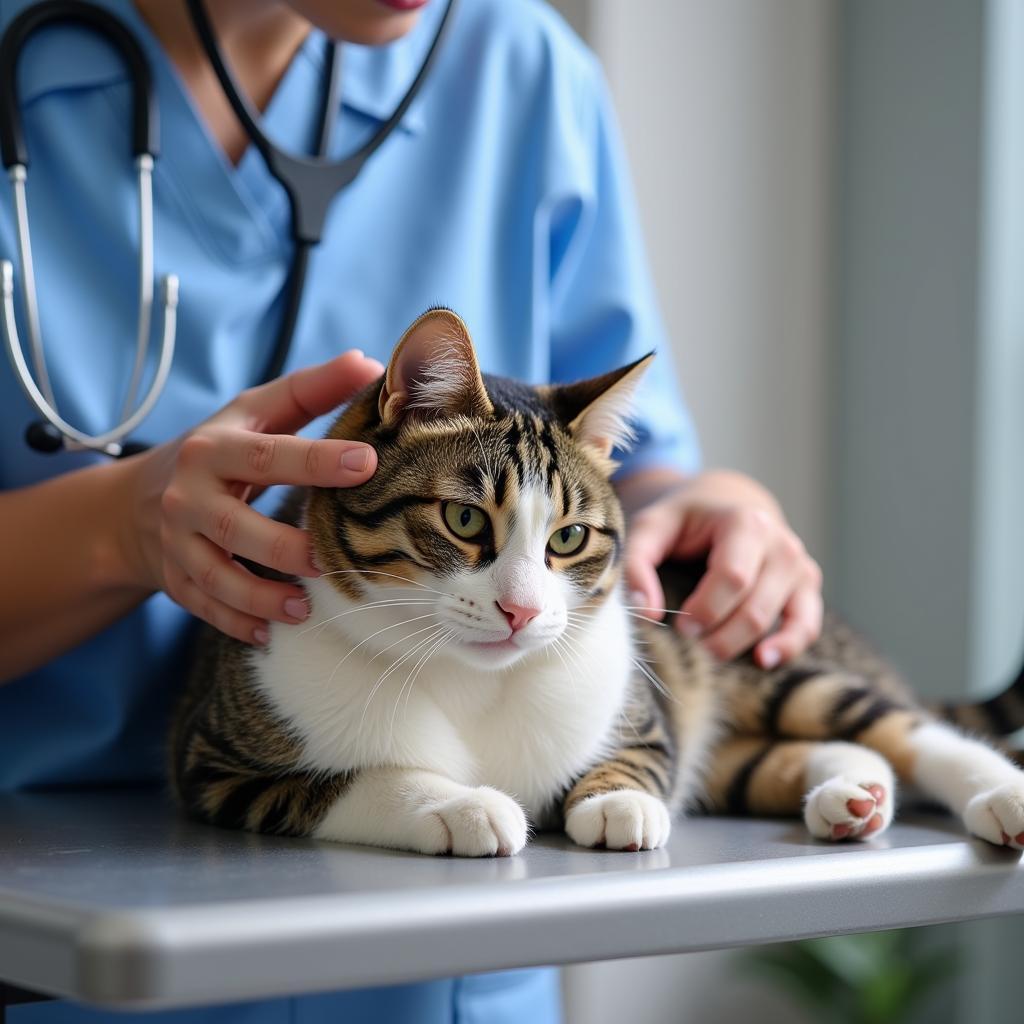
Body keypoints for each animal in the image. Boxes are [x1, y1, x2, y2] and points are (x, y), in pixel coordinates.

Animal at [172, 305, 1024, 856]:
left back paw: (995, 793)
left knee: (904, 728)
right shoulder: (218, 763)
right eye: (465, 520)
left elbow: (645, 756)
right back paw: (851, 798)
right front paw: (458, 803)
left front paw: (617, 801)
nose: (520, 611)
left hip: (764, 659)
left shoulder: (646, 710)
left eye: (569, 537)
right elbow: (345, 783)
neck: (467, 678)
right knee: (814, 752)